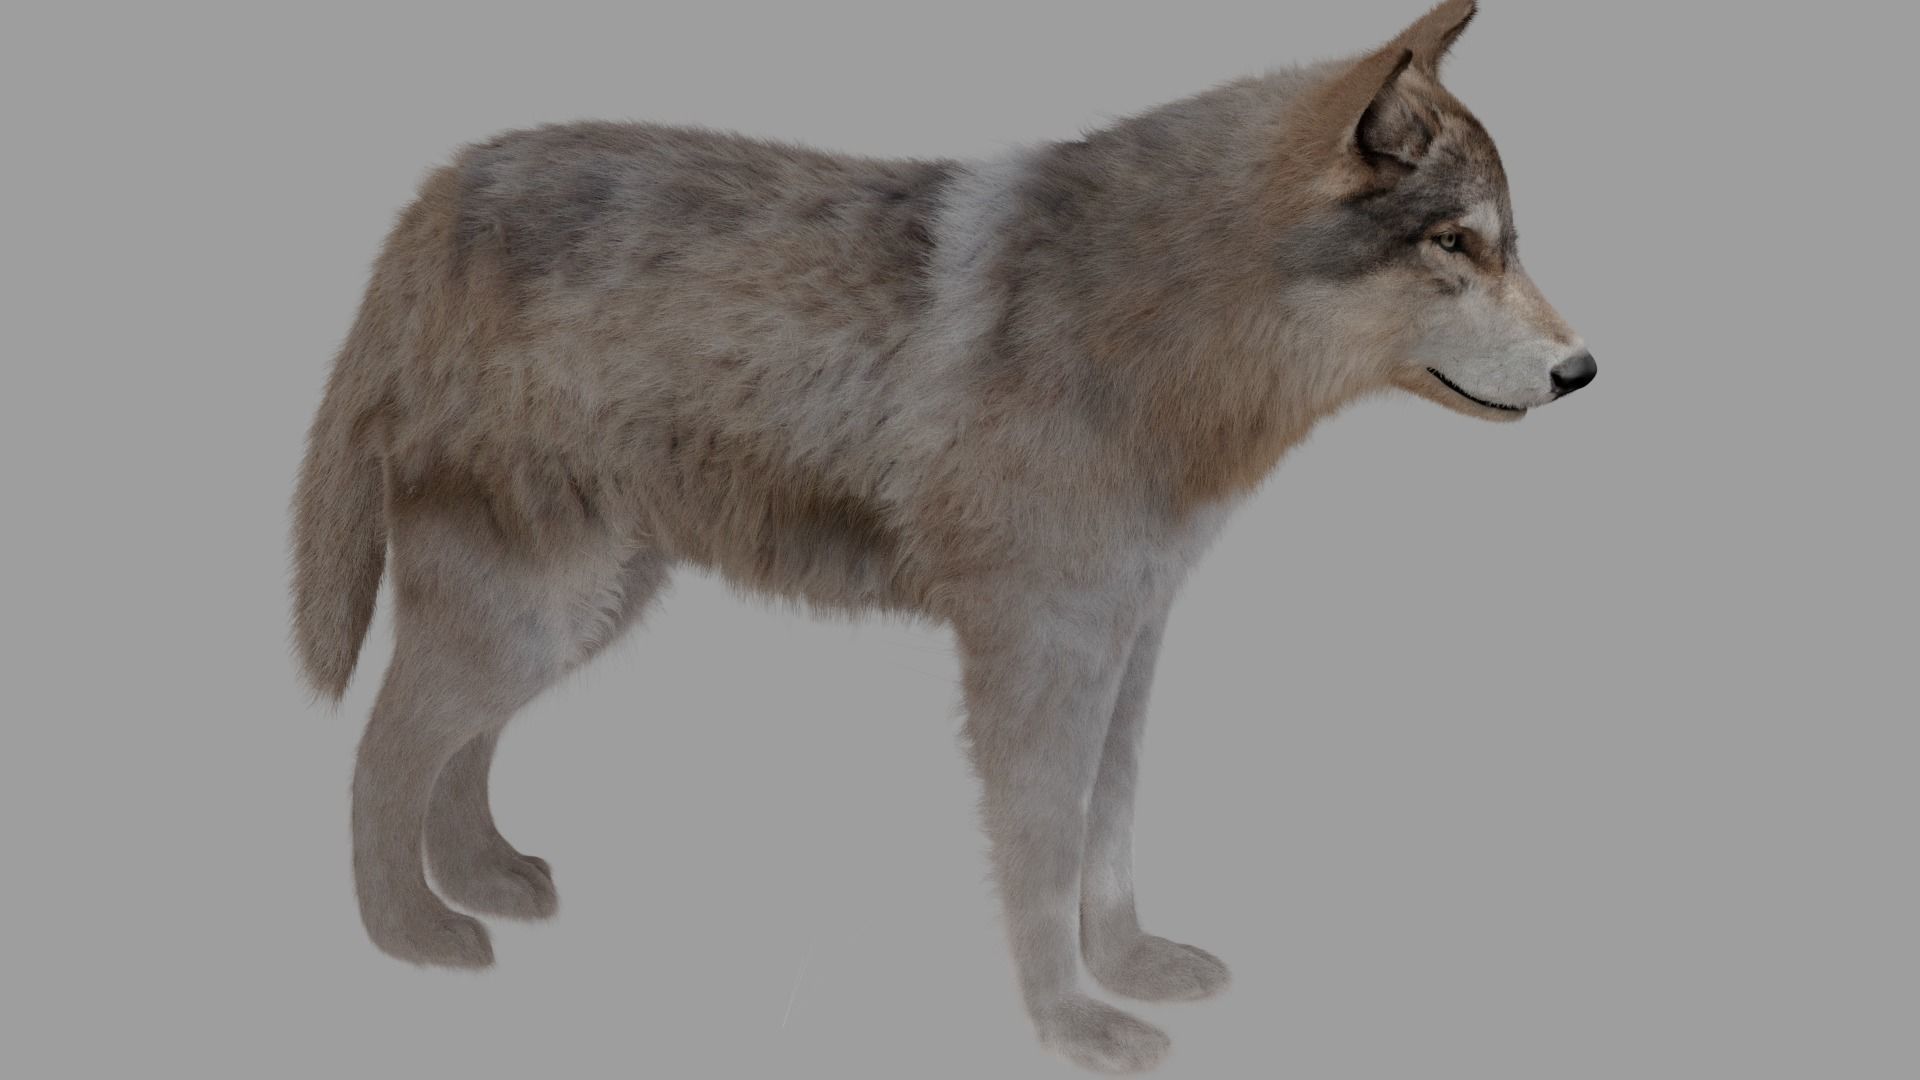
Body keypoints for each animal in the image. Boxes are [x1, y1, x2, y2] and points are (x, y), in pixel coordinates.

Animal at [290, 0, 1593, 1071]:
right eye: (1457, 244)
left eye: (1508, 243)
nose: (1582, 372)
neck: (1164, 329)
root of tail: (443, 185)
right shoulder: (1037, 656)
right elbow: (1044, 858)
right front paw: (1074, 1028)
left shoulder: (1126, 645)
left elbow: (1109, 842)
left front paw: (1130, 973)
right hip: (534, 615)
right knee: (376, 756)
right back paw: (413, 936)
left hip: (576, 615)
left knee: (453, 753)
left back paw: (485, 881)